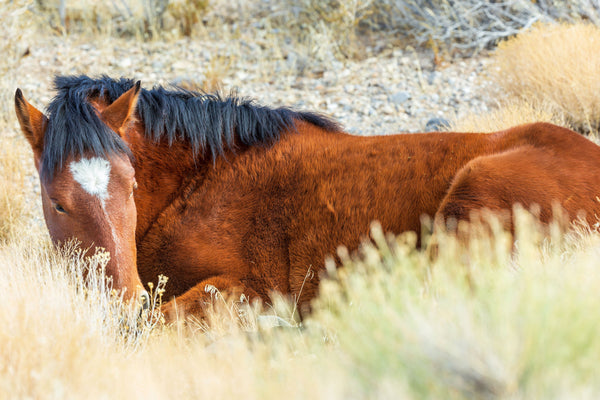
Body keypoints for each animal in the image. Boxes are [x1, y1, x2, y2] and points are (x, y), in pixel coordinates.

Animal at [12, 76, 600, 324]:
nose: (124, 298)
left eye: (130, 186)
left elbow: (164, 319)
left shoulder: (249, 288)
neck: (203, 177)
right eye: (59, 202)